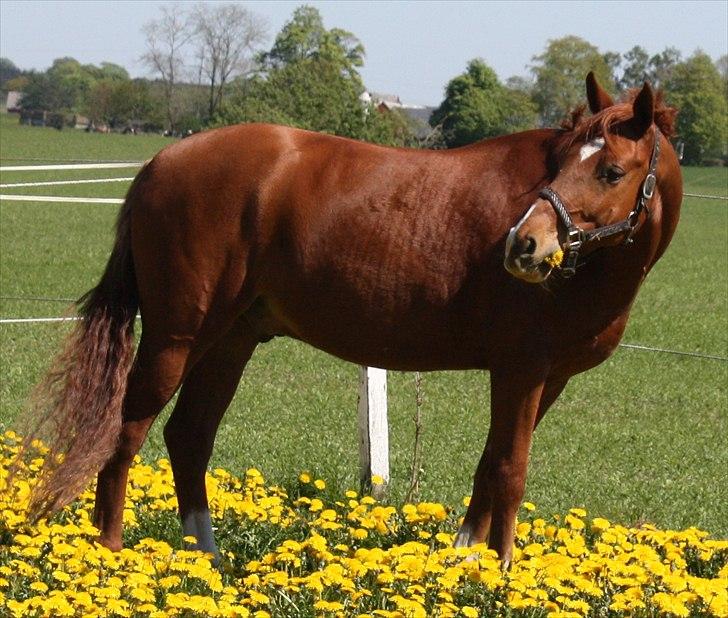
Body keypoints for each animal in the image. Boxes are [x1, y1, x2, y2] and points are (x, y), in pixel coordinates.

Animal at [22, 73, 684, 564]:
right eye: (566, 160)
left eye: (610, 170)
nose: (525, 245)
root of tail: (160, 162)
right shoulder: (521, 370)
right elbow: (509, 470)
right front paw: (499, 574)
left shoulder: (546, 379)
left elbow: (489, 467)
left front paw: (465, 560)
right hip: (176, 339)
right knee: (129, 430)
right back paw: (113, 551)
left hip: (231, 341)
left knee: (189, 436)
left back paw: (207, 560)